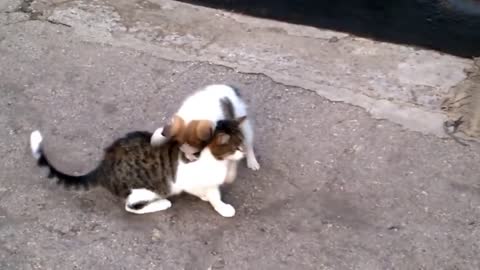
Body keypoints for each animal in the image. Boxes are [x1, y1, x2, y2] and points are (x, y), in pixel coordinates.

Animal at [29, 117, 246, 218]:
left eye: (243, 142)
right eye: (236, 146)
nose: (244, 152)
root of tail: (104, 166)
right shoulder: (185, 180)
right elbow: (211, 194)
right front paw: (220, 206)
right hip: (144, 189)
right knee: (131, 206)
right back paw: (162, 203)